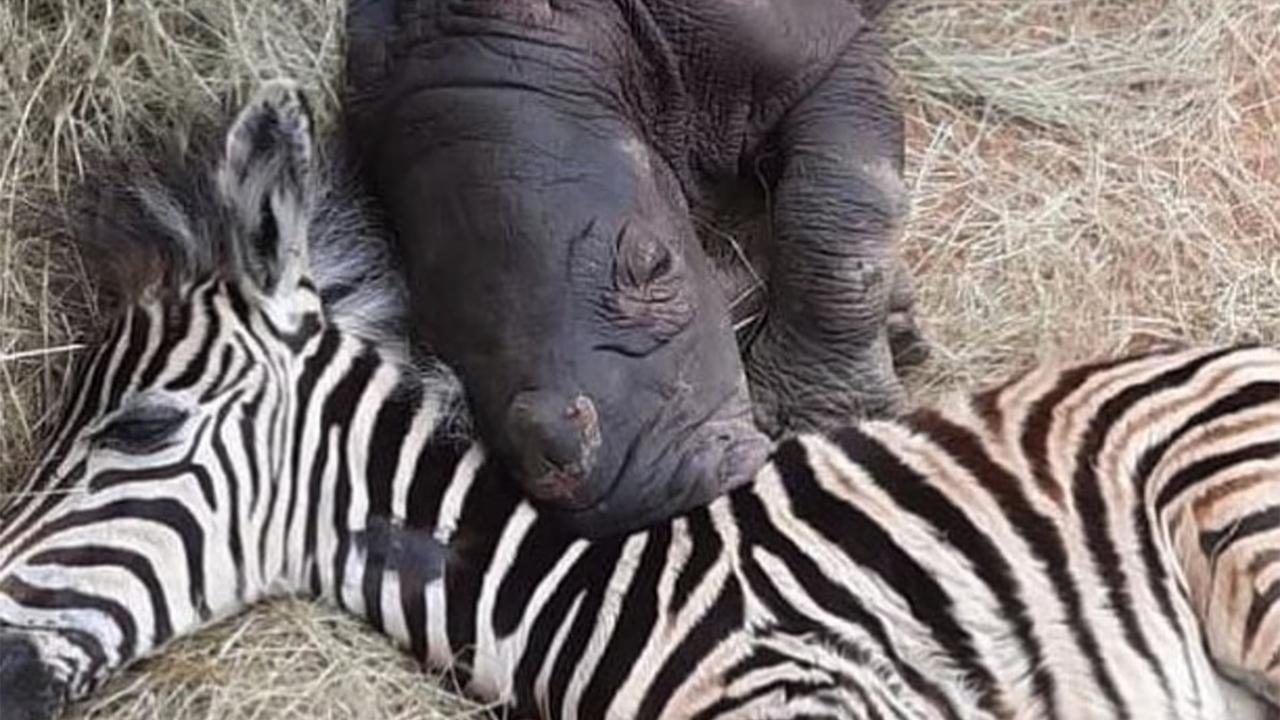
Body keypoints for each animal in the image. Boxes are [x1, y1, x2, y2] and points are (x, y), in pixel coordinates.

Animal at [343, 0, 923, 537]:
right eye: (432, 344)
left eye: (655, 264)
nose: (649, 498)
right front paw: (900, 323)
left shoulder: (826, 53)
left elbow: (841, 204)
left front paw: (827, 421)